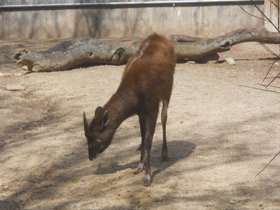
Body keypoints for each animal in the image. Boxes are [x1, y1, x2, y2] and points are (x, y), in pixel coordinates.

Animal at [82, 33, 176, 187]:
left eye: (94, 137)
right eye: (86, 136)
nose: (90, 157)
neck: (136, 95)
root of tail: (160, 36)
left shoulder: (153, 107)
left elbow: (149, 139)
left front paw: (147, 177)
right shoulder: (140, 112)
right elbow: (143, 136)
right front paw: (139, 165)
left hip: (169, 86)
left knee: (164, 117)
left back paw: (165, 154)